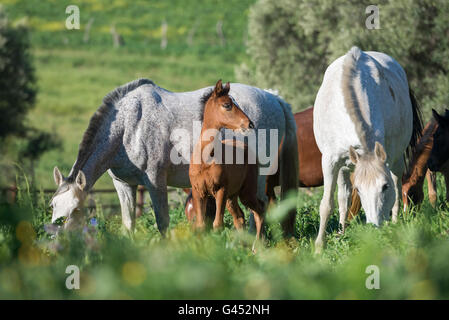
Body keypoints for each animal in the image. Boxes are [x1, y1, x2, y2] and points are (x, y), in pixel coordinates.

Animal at [49, 79, 298, 236]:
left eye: (76, 209)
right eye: (52, 205)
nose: (56, 235)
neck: (130, 125)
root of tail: (275, 99)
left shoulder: (155, 181)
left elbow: (163, 222)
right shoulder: (123, 184)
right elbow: (128, 224)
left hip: (257, 177)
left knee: (259, 208)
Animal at [314, 45, 422, 250]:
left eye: (384, 187)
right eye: (359, 189)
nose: (374, 226)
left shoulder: (387, 159)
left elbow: (394, 193)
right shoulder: (330, 161)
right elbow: (327, 205)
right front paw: (319, 247)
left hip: (396, 160)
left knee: (398, 187)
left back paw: (394, 223)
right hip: (344, 166)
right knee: (343, 198)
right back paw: (341, 232)